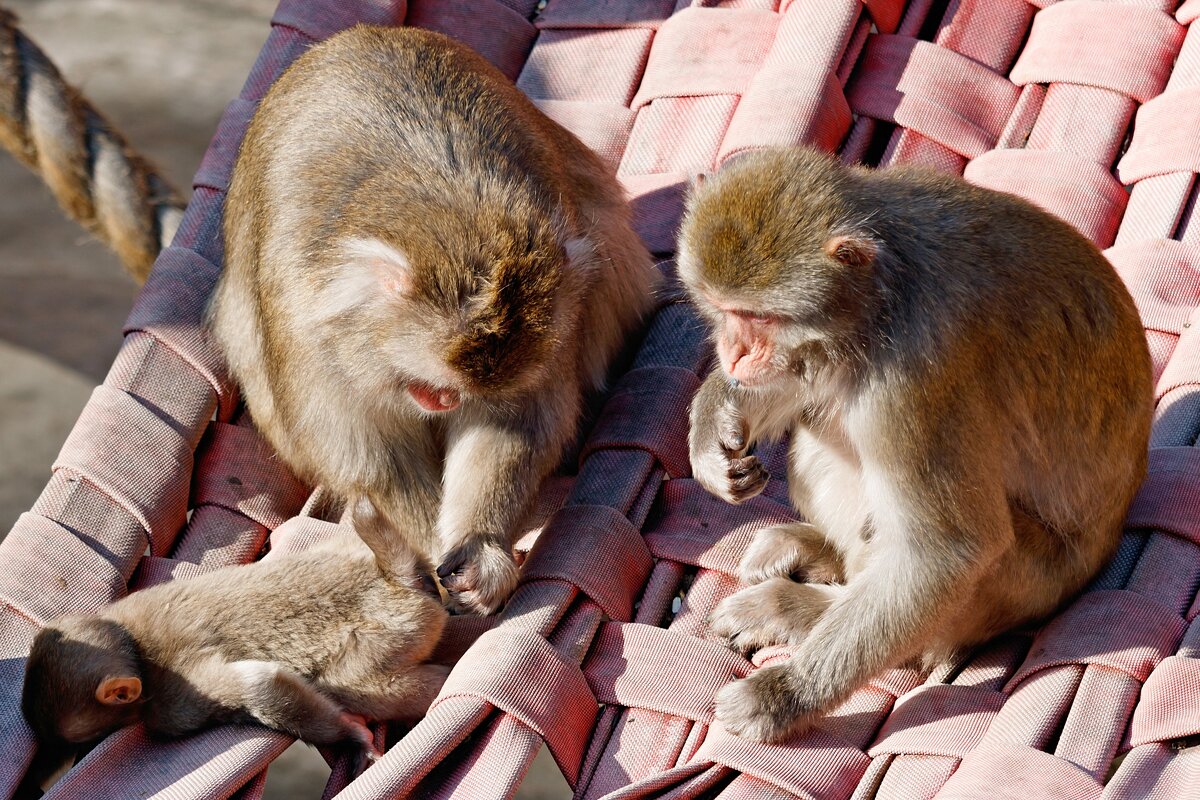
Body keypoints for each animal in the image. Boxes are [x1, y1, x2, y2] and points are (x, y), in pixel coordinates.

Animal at [18, 534, 451, 762]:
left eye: (82, 740)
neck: (130, 642)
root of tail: (394, 578)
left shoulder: (175, 697)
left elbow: (258, 683)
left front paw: (348, 733)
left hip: (392, 630)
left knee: (369, 687)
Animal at [206, 23, 657, 614]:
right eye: (435, 381)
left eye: (456, 390)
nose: (444, 400)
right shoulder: (309, 334)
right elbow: (374, 457)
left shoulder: (547, 336)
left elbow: (514, 422)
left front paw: (481, 548)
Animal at [676, 145, 1152, 743]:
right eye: (722, 309)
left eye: (758, 316)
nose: (734, 353)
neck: (879, 296)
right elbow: (799, 383)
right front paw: (713, 427)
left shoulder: (916, 377)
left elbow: (948, 552)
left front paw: (785, 694)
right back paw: (818, 552)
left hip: (1031, 581)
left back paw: (800, 610)